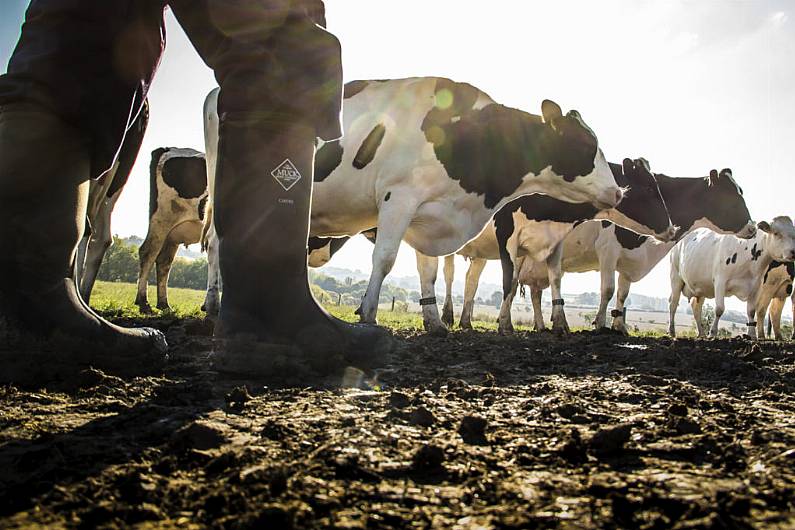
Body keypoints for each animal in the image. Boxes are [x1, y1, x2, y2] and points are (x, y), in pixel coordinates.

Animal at [134, 146, 208, 312]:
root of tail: (169, 148)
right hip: (161, 219)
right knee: (148, 253)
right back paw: (143, 302)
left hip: (172, 235)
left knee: (164, 261)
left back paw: (163, 304)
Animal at [202, 74, 624, 322]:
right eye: (586, 144)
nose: (618, 191)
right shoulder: (399, 197)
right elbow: (385, 259)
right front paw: (369, 313)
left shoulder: (428, 213)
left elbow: (429, 272)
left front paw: (434, 322)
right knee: (217, 243)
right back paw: (214, 302)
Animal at [438, 156, 676, 334]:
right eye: (649, 188)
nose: (672, 229)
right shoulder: (506, 232)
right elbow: (509, 281)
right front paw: (505, 324)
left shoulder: (555, 240)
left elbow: (555, 278)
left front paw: (560, 323)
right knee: (447, 273)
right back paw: (445, 316)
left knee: (471, 279)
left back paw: (465, 321)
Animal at [520, 167, 756, 332]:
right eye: (731, 198)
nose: (753, 228)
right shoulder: (608, 249)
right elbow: (608, 289)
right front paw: (600, 324)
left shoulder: (628, 262)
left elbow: (623, 294)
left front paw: (618, 327)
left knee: (535, 292)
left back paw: (540, 325)